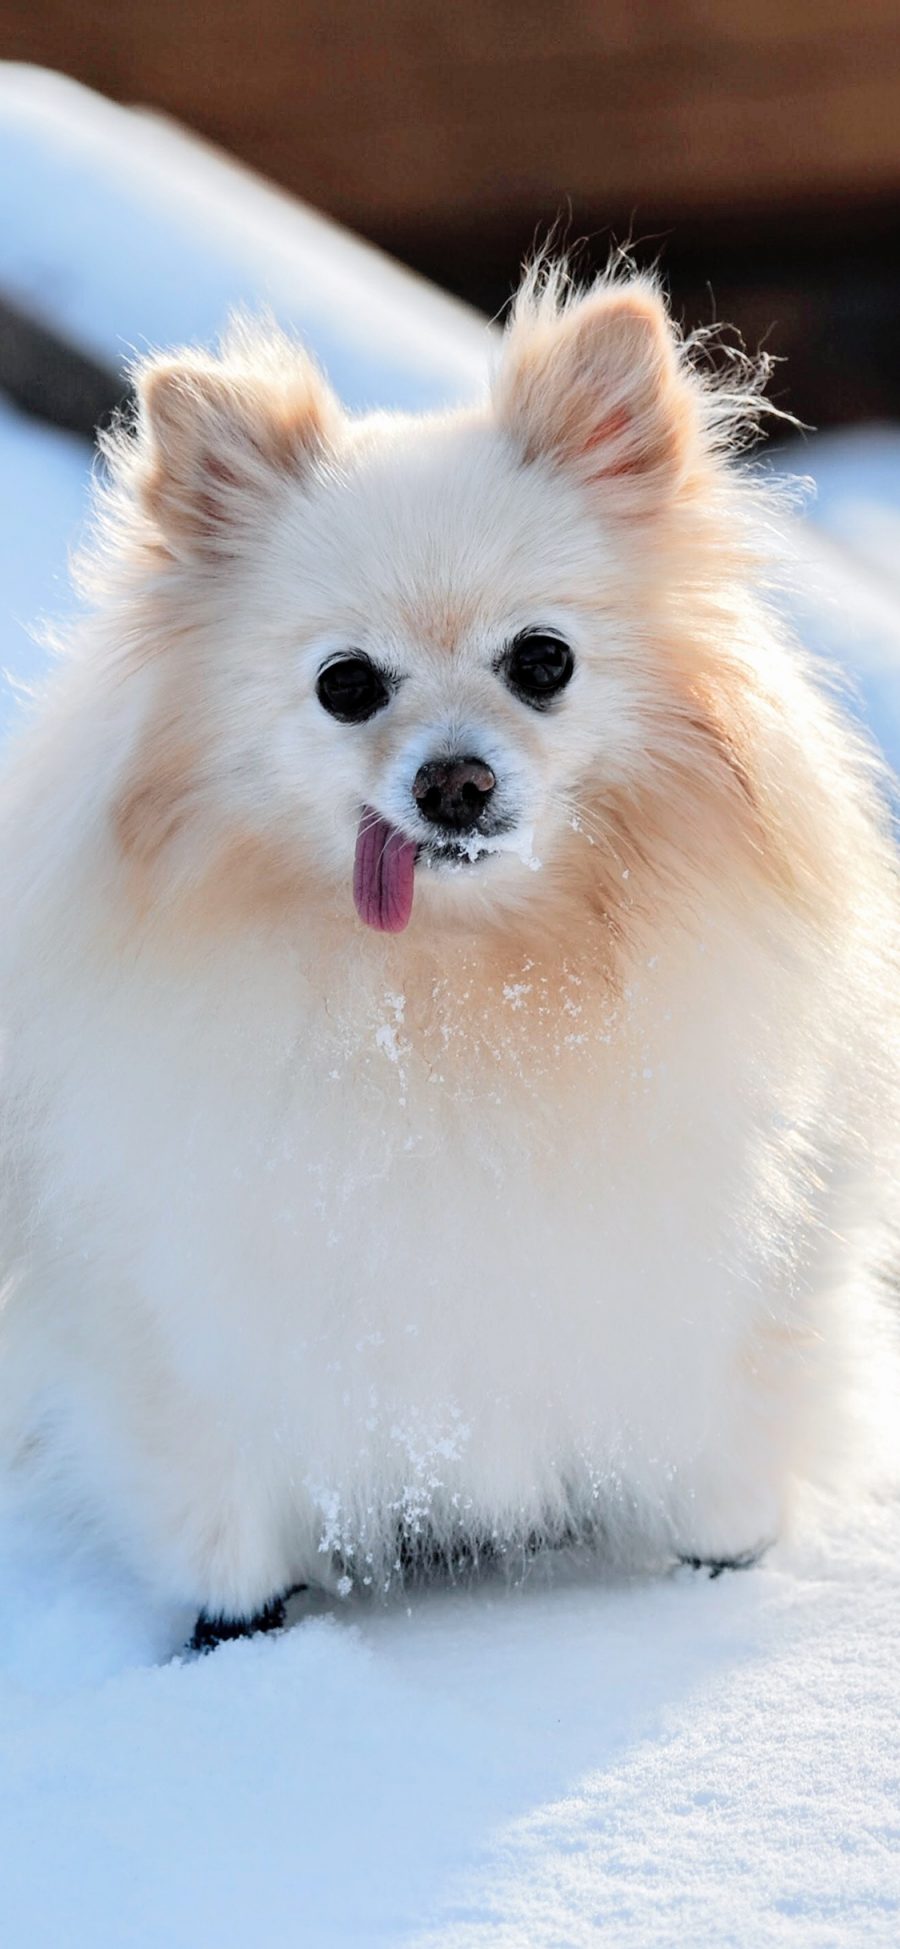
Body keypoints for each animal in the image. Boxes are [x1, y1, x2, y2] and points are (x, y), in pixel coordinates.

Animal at [1, 274, 900, 1644]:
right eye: (346, 684)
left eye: (543, 660)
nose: (456, 780)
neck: (461, 986)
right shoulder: (177, 1319)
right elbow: (219, 1510)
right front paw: (237, 1636)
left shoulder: (736, 1290)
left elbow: (727, 1465)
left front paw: (719, 1580)